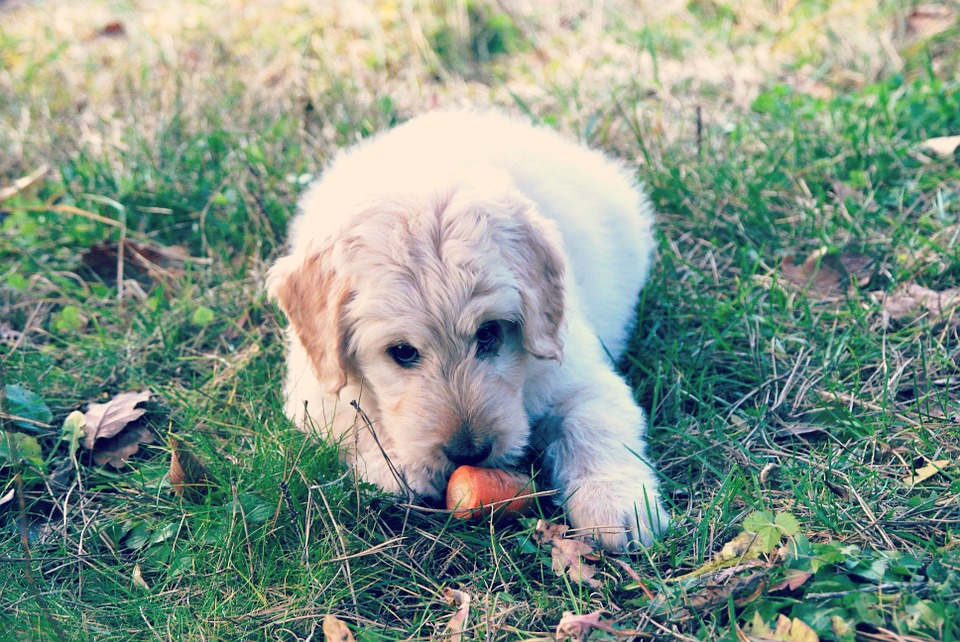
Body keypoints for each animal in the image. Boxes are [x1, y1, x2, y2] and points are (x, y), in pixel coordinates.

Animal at [270, 111, 672, 552]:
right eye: (402, 352)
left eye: (489, 333)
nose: (470, 453)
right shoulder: (313, 388)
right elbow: (351, 418)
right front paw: (396, 466)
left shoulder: (578, 373)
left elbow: (594, 426)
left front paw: (616, 504)